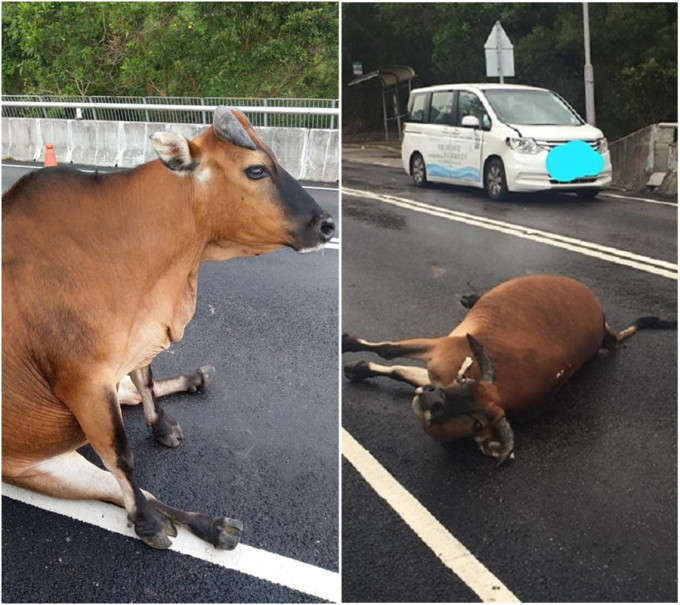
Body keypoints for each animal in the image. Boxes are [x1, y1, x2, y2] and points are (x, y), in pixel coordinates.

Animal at [2, 106, 336, 548]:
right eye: (256, 170)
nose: (327, 225)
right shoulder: (84, 382)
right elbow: (122, 456)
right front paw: (147, 522)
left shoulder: (138, 341)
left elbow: (144, 381)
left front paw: (161, 423)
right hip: (37, 467)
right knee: (126, 489)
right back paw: (197, 523)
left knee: (130, 400)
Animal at [346, 274, 676, 468]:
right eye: (465, 383)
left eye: (478, 423)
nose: (434, 399)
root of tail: (601, 318)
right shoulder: (439, 353)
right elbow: (389, 351)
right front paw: (349, 347)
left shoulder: (437, 360)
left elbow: (394, 363)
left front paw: (356, 363)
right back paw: (472, 298)